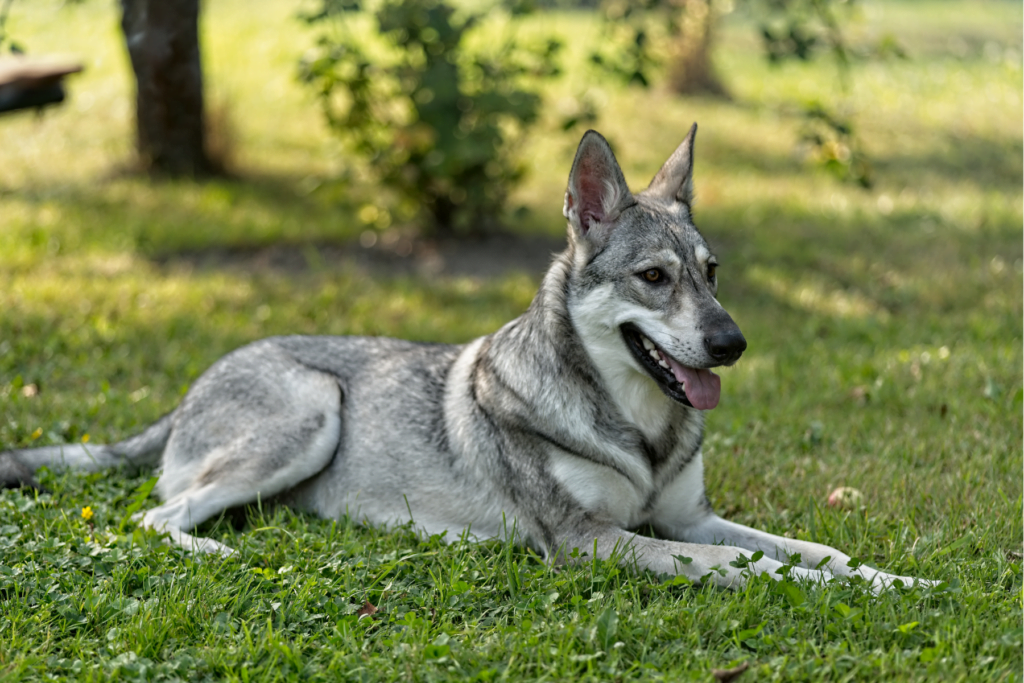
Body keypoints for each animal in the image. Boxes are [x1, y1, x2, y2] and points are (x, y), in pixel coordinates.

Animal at [0, 127, 933, 593]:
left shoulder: (688, 519)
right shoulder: (592, 543)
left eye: (712, 273)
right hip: (314, 408)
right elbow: (756, 565)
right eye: (654, 277)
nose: (732, 344)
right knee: (156, 518)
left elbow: (817, 550)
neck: (639, 430)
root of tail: (195, 384)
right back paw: (223, 553)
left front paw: (898, 581)